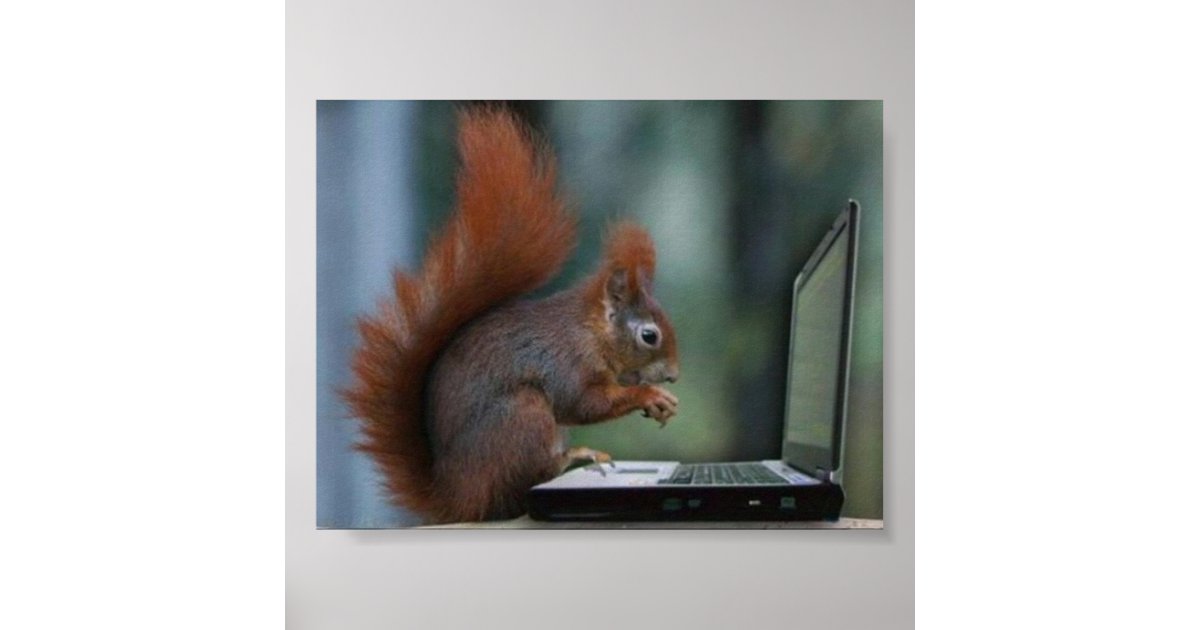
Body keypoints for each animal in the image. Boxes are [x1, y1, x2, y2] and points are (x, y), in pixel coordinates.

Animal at [342, 108, 681, 524]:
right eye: (649, 336)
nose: (674, 375)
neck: (589, 332)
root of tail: (459, 498)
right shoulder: (565, 363)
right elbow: (583, 404)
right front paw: (651, 395)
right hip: (523, 416)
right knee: (527, 481)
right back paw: (575, 456)